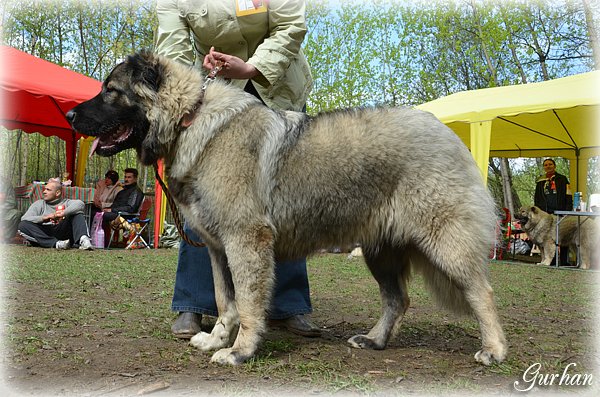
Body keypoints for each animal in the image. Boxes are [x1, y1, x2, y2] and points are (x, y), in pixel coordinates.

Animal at [65, 51, 506, 366]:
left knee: (481, 291)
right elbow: (225, 301)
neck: (191, 118)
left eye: (111, 90)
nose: (68, 113)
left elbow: (247, 302)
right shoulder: (218, 248)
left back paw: (494, 349)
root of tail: (448, 132)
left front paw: (240, 351)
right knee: (397, 300)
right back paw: (374, 340)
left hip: (445, 241)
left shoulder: (246, 240)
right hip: (381, 251)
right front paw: (217, 338)